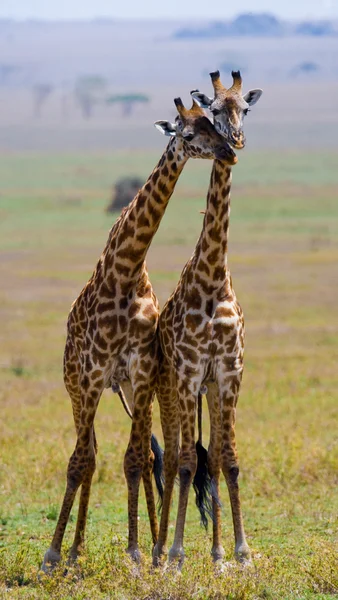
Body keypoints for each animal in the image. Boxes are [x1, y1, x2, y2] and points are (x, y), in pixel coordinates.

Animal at [42, 69, 262, 572]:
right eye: (191, 131)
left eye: (239, 110)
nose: (231, 147)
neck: (124, 269)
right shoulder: (102, 372)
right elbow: (86, 461)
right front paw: (58, 554)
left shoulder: (183, 370)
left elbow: (169, 460)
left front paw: (149, 553)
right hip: (80, 385)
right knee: (88, 454)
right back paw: (72, 552)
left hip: (145, 388)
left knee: (148, 454)